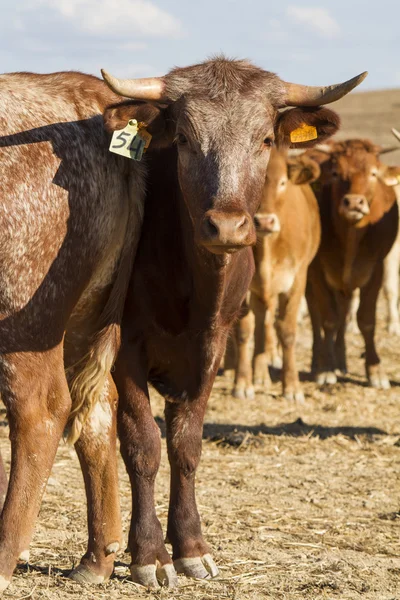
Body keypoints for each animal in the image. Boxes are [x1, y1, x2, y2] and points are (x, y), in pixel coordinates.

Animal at [231, 149, 322, 404]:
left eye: (282, 183)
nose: (264, 221)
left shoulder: (297, 280)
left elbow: (287, 331)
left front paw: (291, 386)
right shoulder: (244, 288)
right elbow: (244, 330)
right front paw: (242, 383)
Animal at [306, 138, 396, 386]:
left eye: (373, 173)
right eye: (336, 173)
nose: (354, 202)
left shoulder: (375, 269)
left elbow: (366, 320)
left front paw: (374, 370)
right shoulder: (317, 269)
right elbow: (328, 319)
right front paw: (325, 368)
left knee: (345, 312)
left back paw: (341, 360)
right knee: (316, 314)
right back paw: (319, 360)